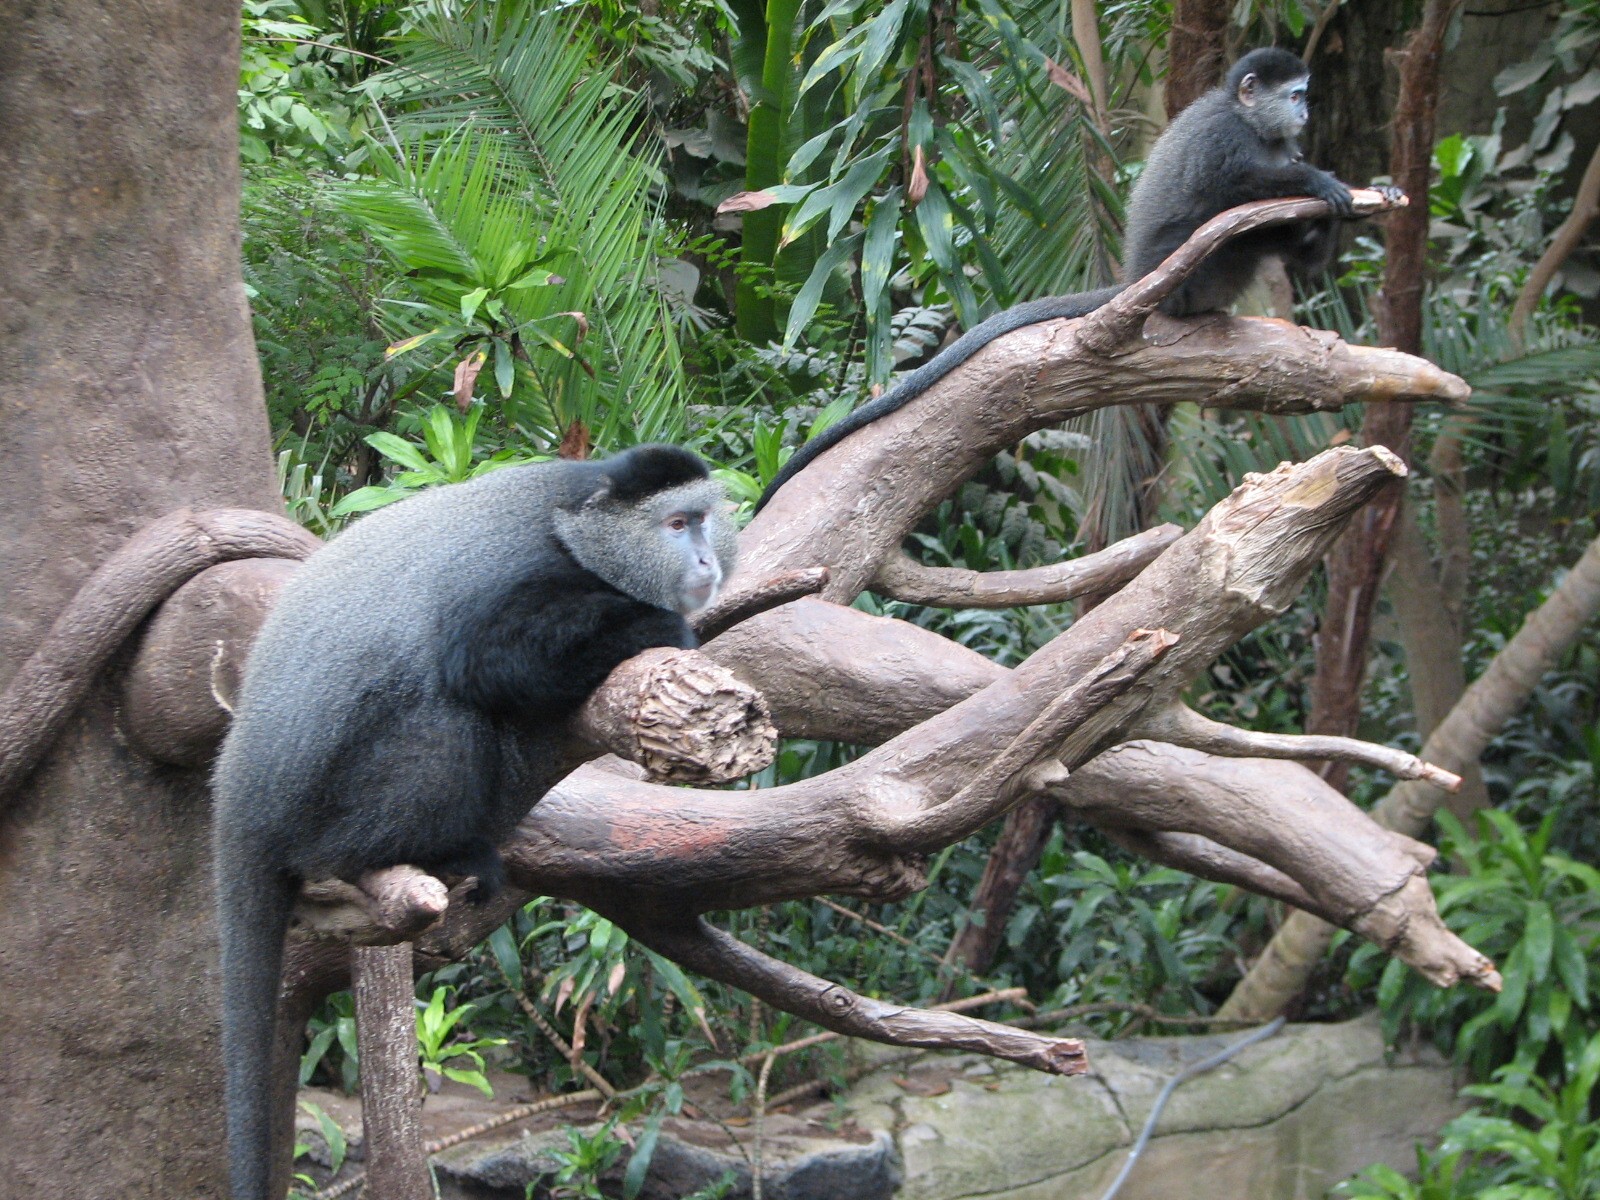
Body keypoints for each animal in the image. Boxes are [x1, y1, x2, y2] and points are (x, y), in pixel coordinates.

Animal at [211, 444, 737, 1200]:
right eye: (675, 524)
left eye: (702, 520)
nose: (703, 560)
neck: (572, 523)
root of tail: (243, 783)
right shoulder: (522, 574)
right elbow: (487, 660)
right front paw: (660, 627)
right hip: (328, 803)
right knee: (445, 719)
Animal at [754, 47, 1399, 513]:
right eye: (1296, 95)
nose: (1305, 114)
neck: (1250, 121)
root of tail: (1140, 276)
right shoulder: (1226, 135)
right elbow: (1231, 185)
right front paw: (1318, 182)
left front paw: (1366, 197)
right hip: (1187, 271)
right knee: (1223, 217)